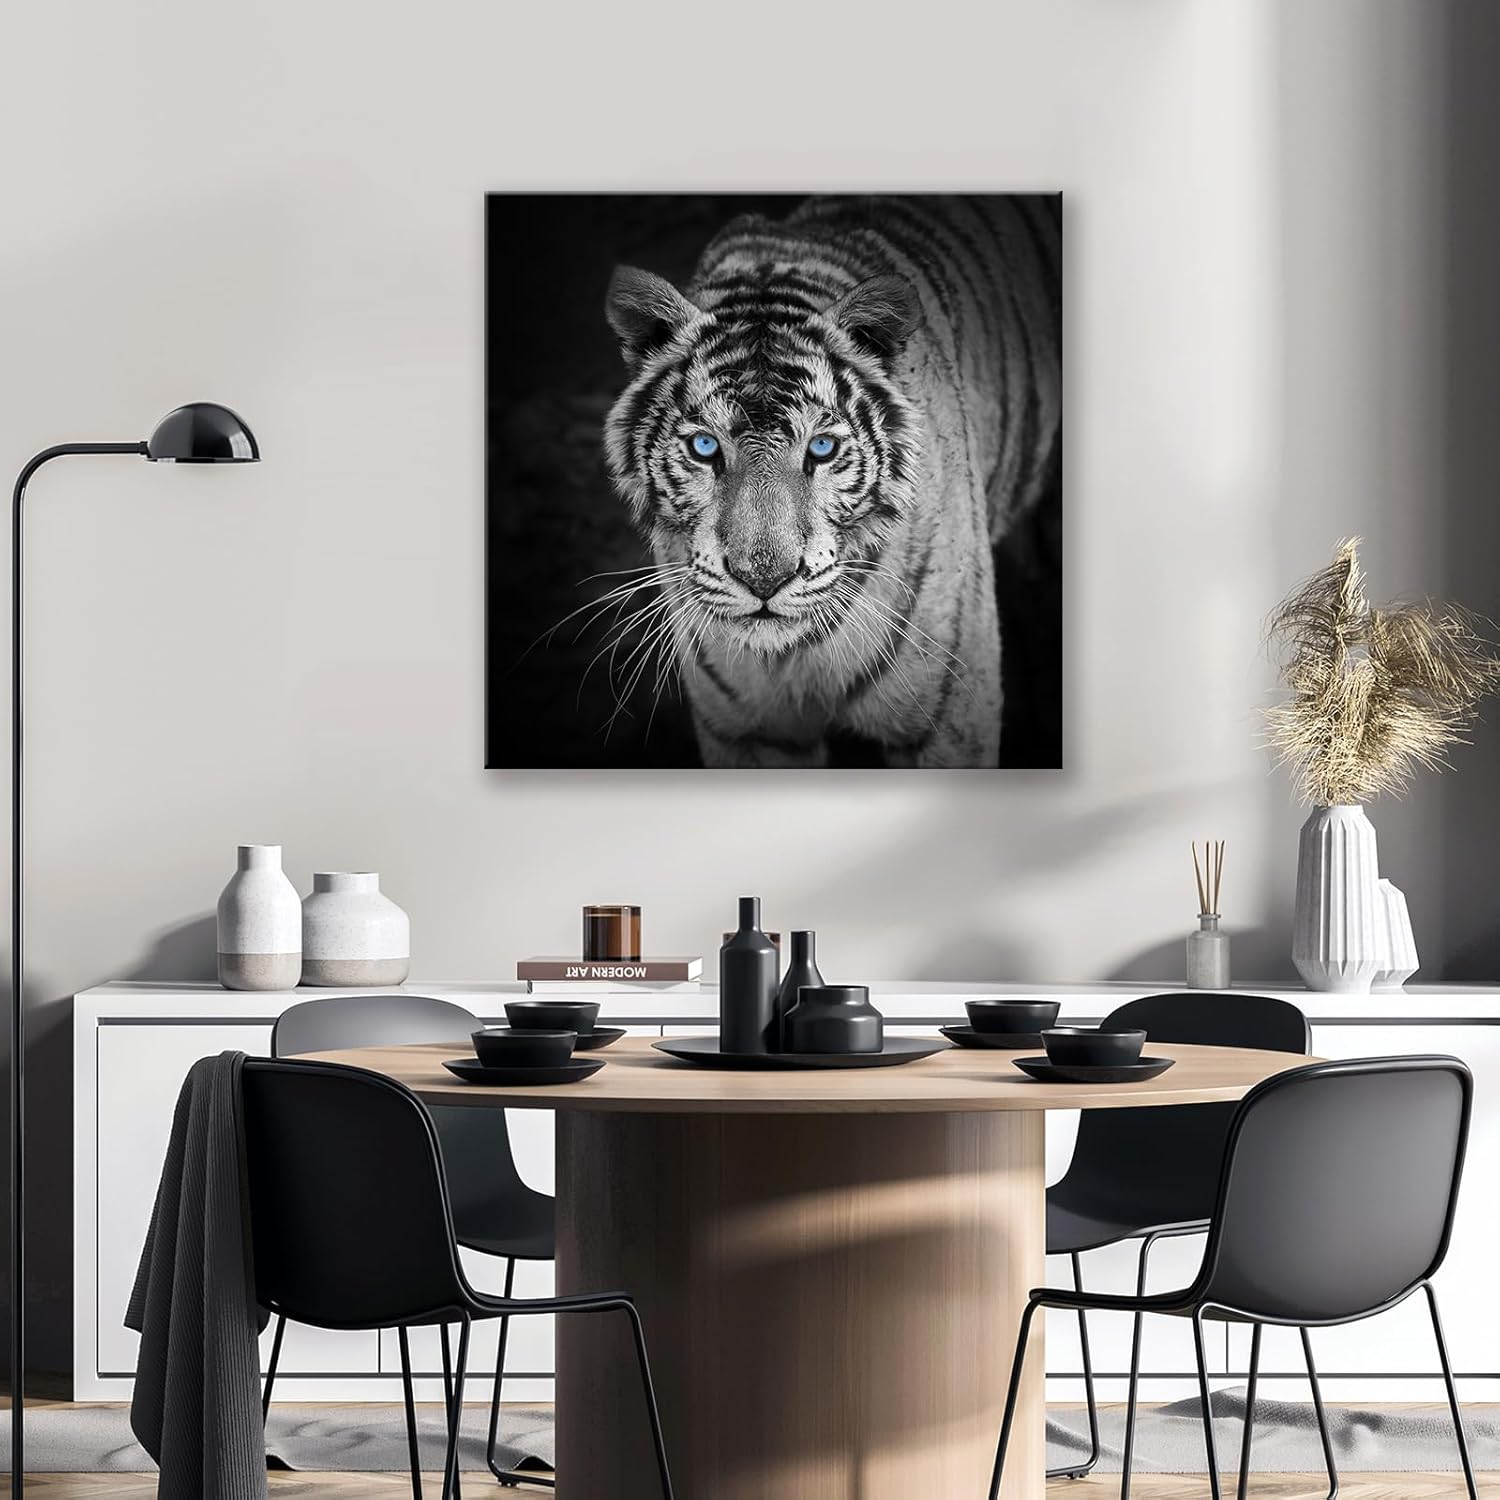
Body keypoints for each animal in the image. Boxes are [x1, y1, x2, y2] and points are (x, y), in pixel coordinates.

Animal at [602, 194, 1061, 768]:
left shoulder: (947, 721)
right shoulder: (748, 733)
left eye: (821, 448)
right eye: (705, 447)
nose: (764, 581)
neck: (792, 656)